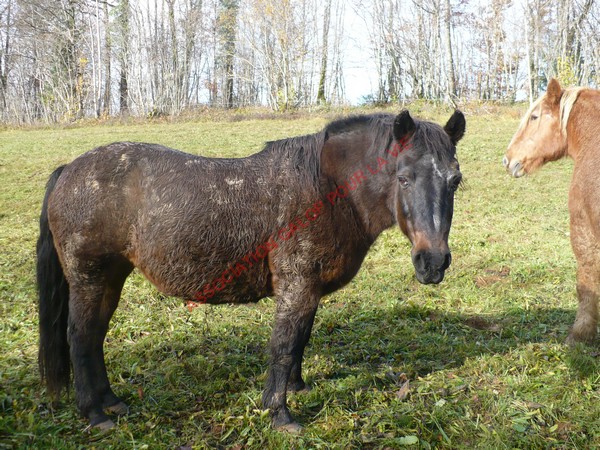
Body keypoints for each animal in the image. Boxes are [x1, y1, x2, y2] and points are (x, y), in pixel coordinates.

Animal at [37, 110, 466, 432]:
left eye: (455, 180)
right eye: (403, 178)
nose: (433, 262)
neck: (327, 188)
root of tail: (69, 169)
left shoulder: (308, 291)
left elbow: (300, 341)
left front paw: (297, 388)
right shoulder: (297, 287)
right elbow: (283, 347)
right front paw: (279, 414)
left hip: (111, 278)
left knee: (94, 337)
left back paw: (111, 402)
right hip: (89, 279)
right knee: (80, 337)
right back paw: (94, 414)